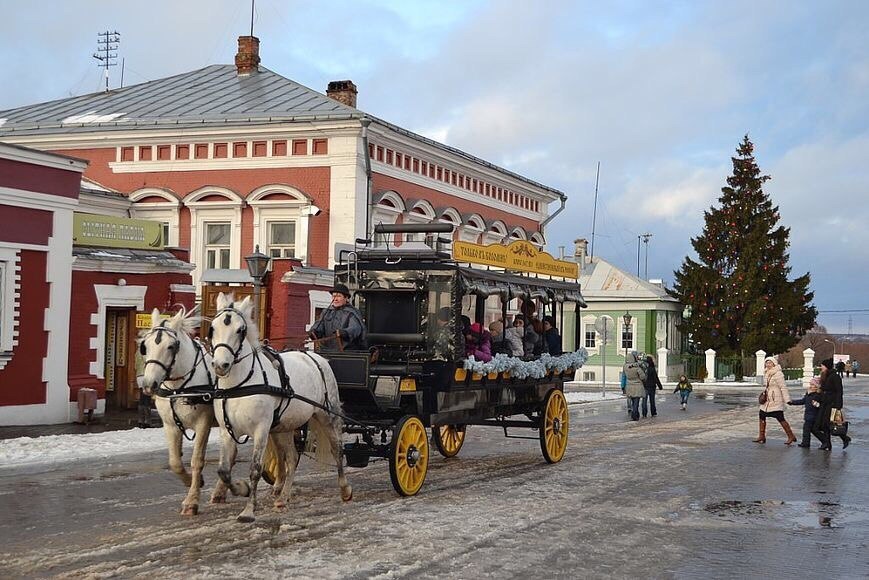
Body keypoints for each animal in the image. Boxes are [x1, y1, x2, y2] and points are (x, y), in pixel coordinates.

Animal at [139, 308, 227, 516]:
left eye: (171, 346)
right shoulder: (171, 425)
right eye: (145, 346)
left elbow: (197, 460)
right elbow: (175, 462)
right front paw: (193, 482)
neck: (179, 388)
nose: (148, 385)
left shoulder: (203, 422)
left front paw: (192, 501)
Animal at [209, 292, 350, 524]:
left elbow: (255, 469)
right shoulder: (226, 431)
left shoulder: (261, 430)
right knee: (291, 458)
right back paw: (283, 497)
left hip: (327, 416)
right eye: (212, 328)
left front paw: (248, 510)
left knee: (337, 449)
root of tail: (317, 358)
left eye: (240, 330)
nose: (221, 365)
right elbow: (223, 470)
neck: (240, 384)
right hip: (284, 427)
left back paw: (345, 489)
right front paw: (240, 489)